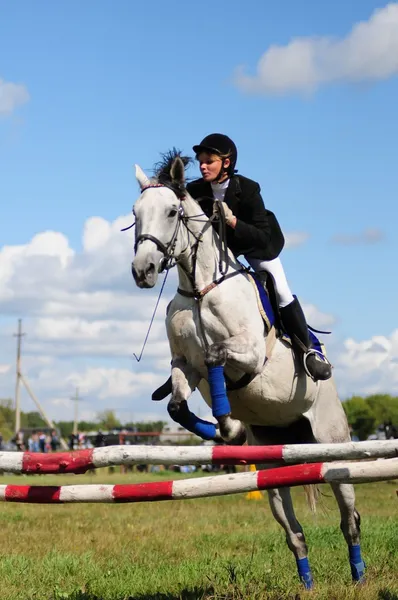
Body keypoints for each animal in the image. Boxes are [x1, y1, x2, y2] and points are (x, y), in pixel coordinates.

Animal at [131, 152, 366, 588]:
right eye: (134, 213)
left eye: (172, 211)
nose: (143, 270)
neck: (200, 288)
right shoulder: (183, 365)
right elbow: (176, 405)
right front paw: (226, 432)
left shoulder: (249, 355)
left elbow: (215, 356)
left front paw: (229, 427)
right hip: (272, 466)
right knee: (294, 531)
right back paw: (307, 583)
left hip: (333, 447)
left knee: (350, 518)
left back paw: (359, 577)